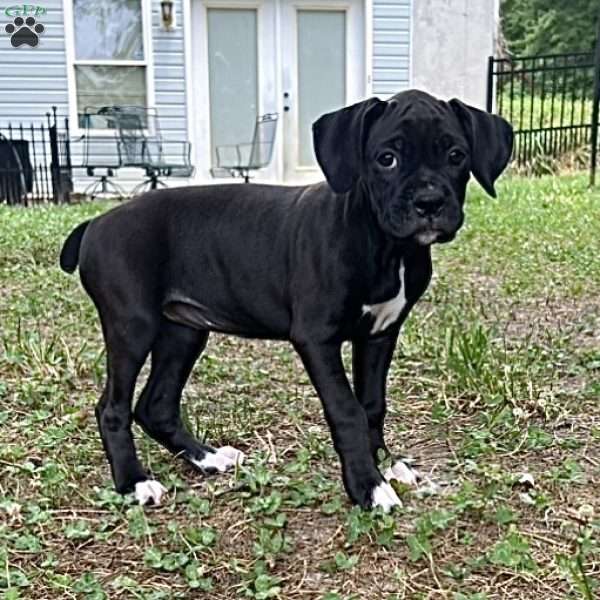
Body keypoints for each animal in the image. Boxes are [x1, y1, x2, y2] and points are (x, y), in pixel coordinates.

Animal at [59, 89, 510, 510]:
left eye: (456, 155)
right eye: (387, 159)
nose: (429, 203)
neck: (384, 246)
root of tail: (95, 223)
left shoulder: (380, 335)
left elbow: (372, 405)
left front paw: (385, 463)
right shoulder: (316, 337)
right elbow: (347, 410)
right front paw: (367, 485)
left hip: (183, 330)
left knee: (156, 405)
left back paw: (207, 458)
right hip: (133, 325)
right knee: (113, 408)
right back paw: (134, 482)